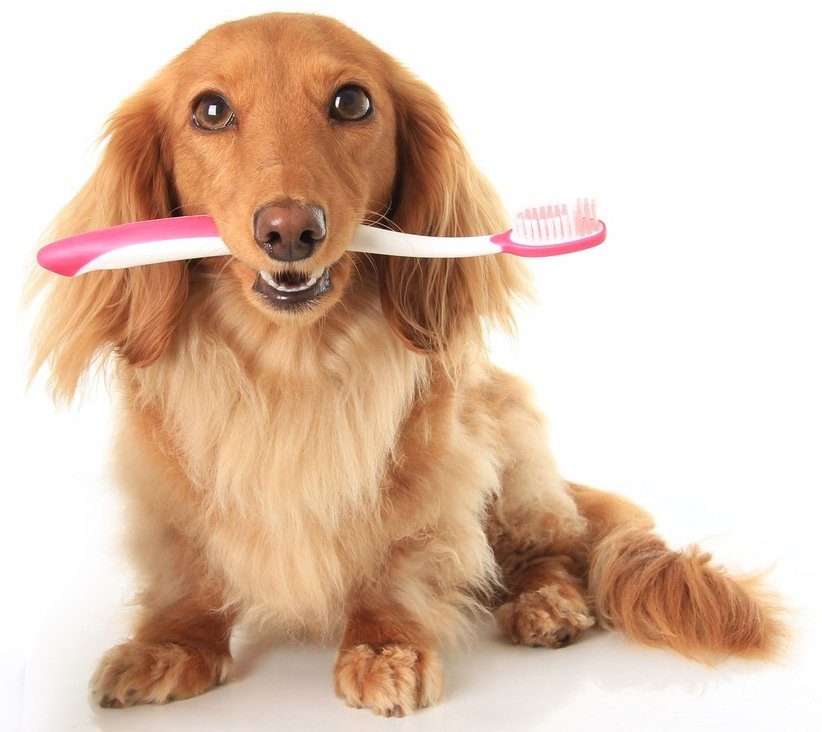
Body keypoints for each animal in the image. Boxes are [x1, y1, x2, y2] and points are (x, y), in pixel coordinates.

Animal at [29, 14, 784, 716]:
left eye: (352, 102)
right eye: (210, 111)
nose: (291, 230)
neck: (292, 366)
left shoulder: (430, 471)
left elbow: (392, 563)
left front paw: (383, 647)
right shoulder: (169, 485)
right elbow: (190, 573)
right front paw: (172, 644)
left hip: (512, 459)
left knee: (554, 550)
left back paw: (545, 604)